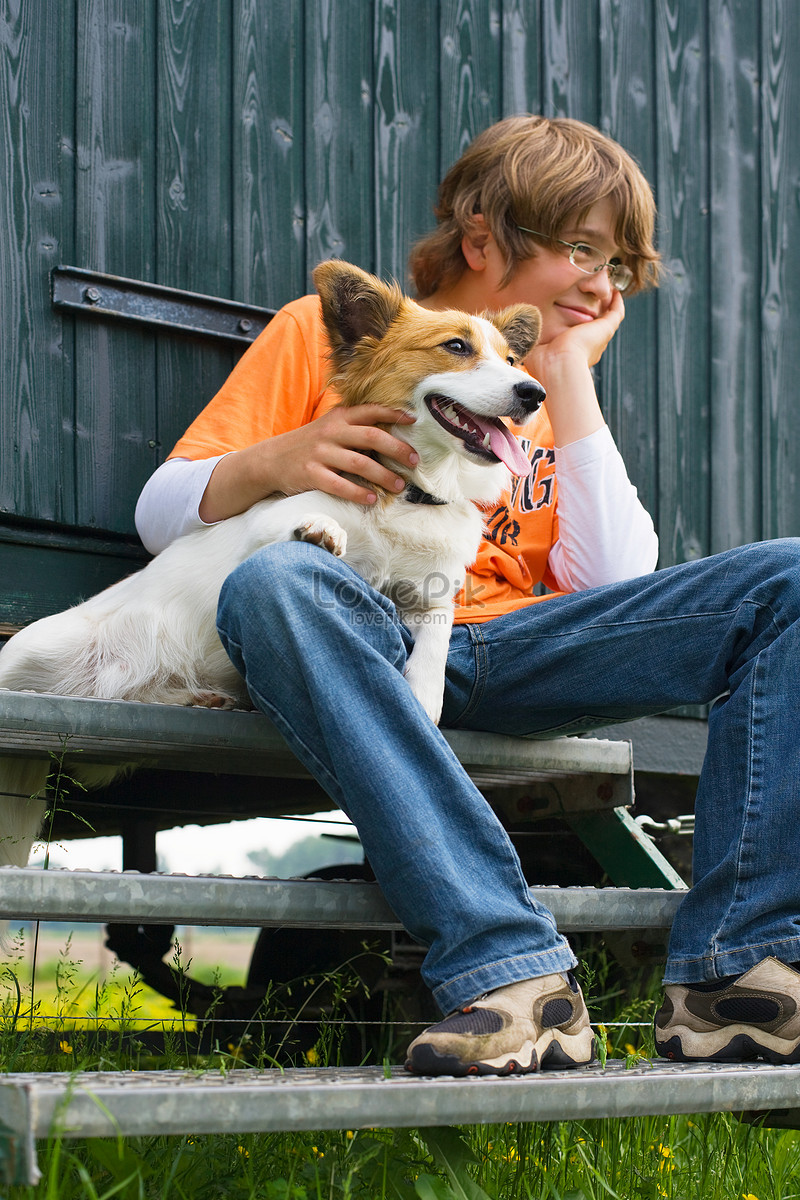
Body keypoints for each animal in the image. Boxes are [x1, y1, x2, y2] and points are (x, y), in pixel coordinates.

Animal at [0, 260, 544, 864]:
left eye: (512, 360)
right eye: (456, 346)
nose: (534, 393)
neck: (413, 492)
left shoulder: (432, 594)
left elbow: (436, 638)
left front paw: (424, 700)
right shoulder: (268, 520)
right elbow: (312, 525)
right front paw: (324, 531)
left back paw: (197, 698)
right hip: (37, 649)